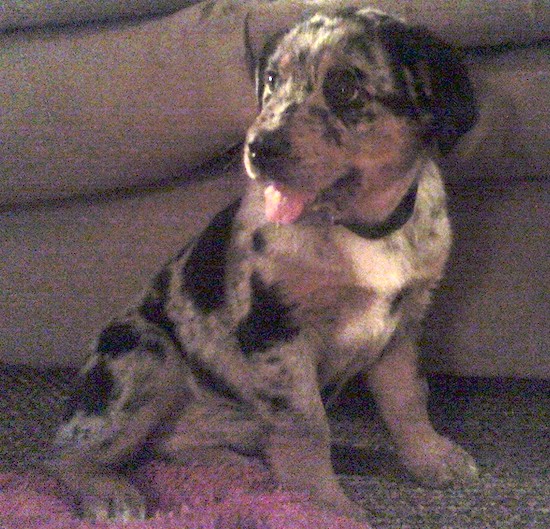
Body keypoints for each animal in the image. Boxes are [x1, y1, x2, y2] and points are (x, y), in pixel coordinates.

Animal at [46, 8, 478, 520]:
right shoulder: (276, 330)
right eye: (271, 79)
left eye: (346, 88)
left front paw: (430, 457)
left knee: (170, 449)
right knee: (65, 453)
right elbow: (307, 428)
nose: (258, 149)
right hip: (145, 355)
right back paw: (109, 492)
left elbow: (408, 398)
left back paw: (234, 470)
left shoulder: (404, 322)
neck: (363, 227)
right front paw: (323, 507)